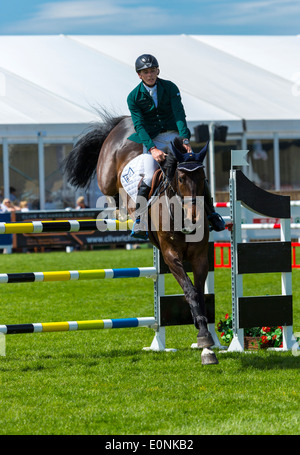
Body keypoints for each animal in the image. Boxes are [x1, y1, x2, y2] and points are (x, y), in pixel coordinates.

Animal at [63, 112, 218, 366]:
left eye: (203, 178)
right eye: (181, 178)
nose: (193, 219)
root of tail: (123, 121)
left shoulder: (200, 257)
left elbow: (200, 293)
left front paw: (205, 339)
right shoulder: (170, 255)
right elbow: (190, 291)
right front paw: (204, 339)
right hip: (106, 174)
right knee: (111, 191)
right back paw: (123, 214)